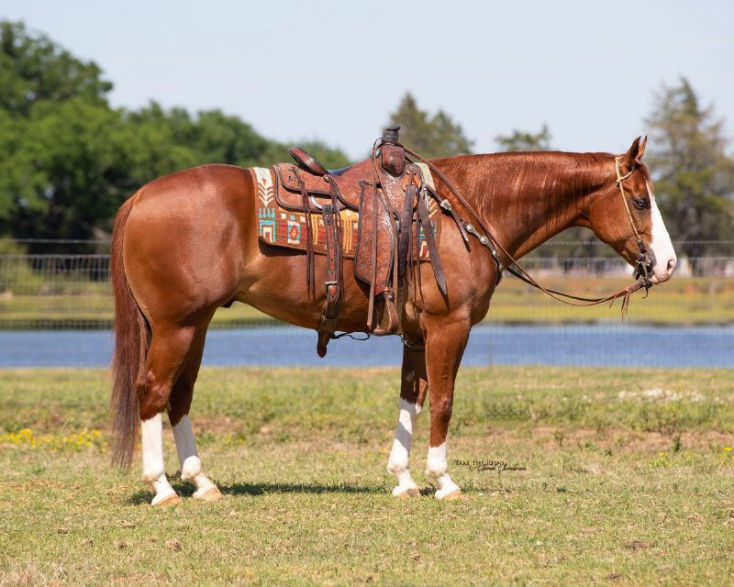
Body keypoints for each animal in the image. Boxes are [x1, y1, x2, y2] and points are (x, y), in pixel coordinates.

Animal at [110, 136, 676, 505]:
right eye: (640, 200)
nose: (669, 265)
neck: (460, 213)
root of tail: (140, 196)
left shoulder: (416, 335)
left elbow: (412, 398)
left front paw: (403, 479)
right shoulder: (450, 326)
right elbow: (444, 401)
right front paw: (443, 481)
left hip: (197, 324)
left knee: (179, 396)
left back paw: (202, 483)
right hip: (177, 325)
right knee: (152, 391)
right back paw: (162, 488)